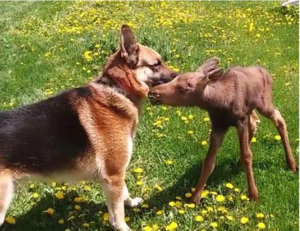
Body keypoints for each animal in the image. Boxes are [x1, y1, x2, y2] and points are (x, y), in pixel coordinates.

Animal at [0, 24, 177, 230]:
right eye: (157, 64)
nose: (179, 76)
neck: (117, 89)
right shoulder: (113, 175)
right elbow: (118, 214)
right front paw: (123, 226)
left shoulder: (115, 175)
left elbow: (123, 194)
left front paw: (131, 203)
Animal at [149, 57, 296, 204]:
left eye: (183, 88)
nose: (152, 93)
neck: (219, 103)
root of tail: (266, 72)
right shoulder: (218, 126)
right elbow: (209, 162)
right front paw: (194, 198)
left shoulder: (240, 120)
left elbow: (247, 156)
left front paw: (253, 194)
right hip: (250, 110)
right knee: (255, 122)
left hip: (264, 103)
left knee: (279, 119)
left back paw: (292, 163)